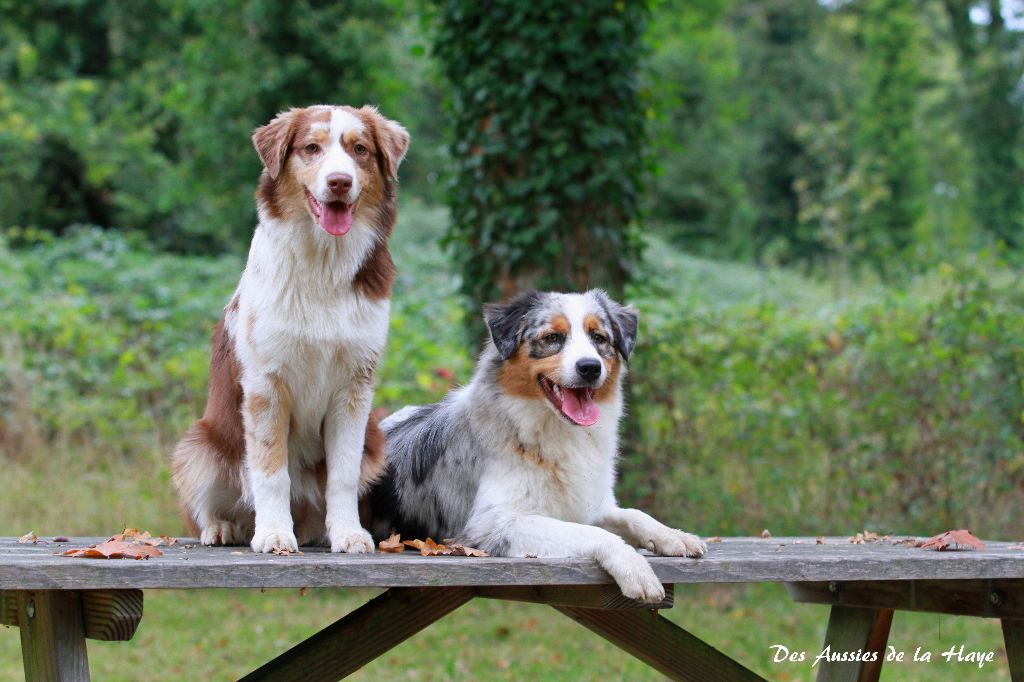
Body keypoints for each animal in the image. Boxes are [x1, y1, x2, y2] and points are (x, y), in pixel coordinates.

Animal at [172, 104, 407, 552]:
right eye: (311, 148)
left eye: (360, 150)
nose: (339, 181)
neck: (323, 264)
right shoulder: (266, 385)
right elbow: (270, 469)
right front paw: (274, 533)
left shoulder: (353, 387)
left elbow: (343, 473)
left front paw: (349, 534)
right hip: (199, 445)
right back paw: (225, 528)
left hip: (376, 443)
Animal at [372, 288, 708, 598]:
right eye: (553, 337)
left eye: (598, 337)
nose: (590, 367)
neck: (559, 432)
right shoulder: (491, 524)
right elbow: (590, 533)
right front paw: (635, 569)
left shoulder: (587, 503)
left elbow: (634, 514)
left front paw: (673, 536)